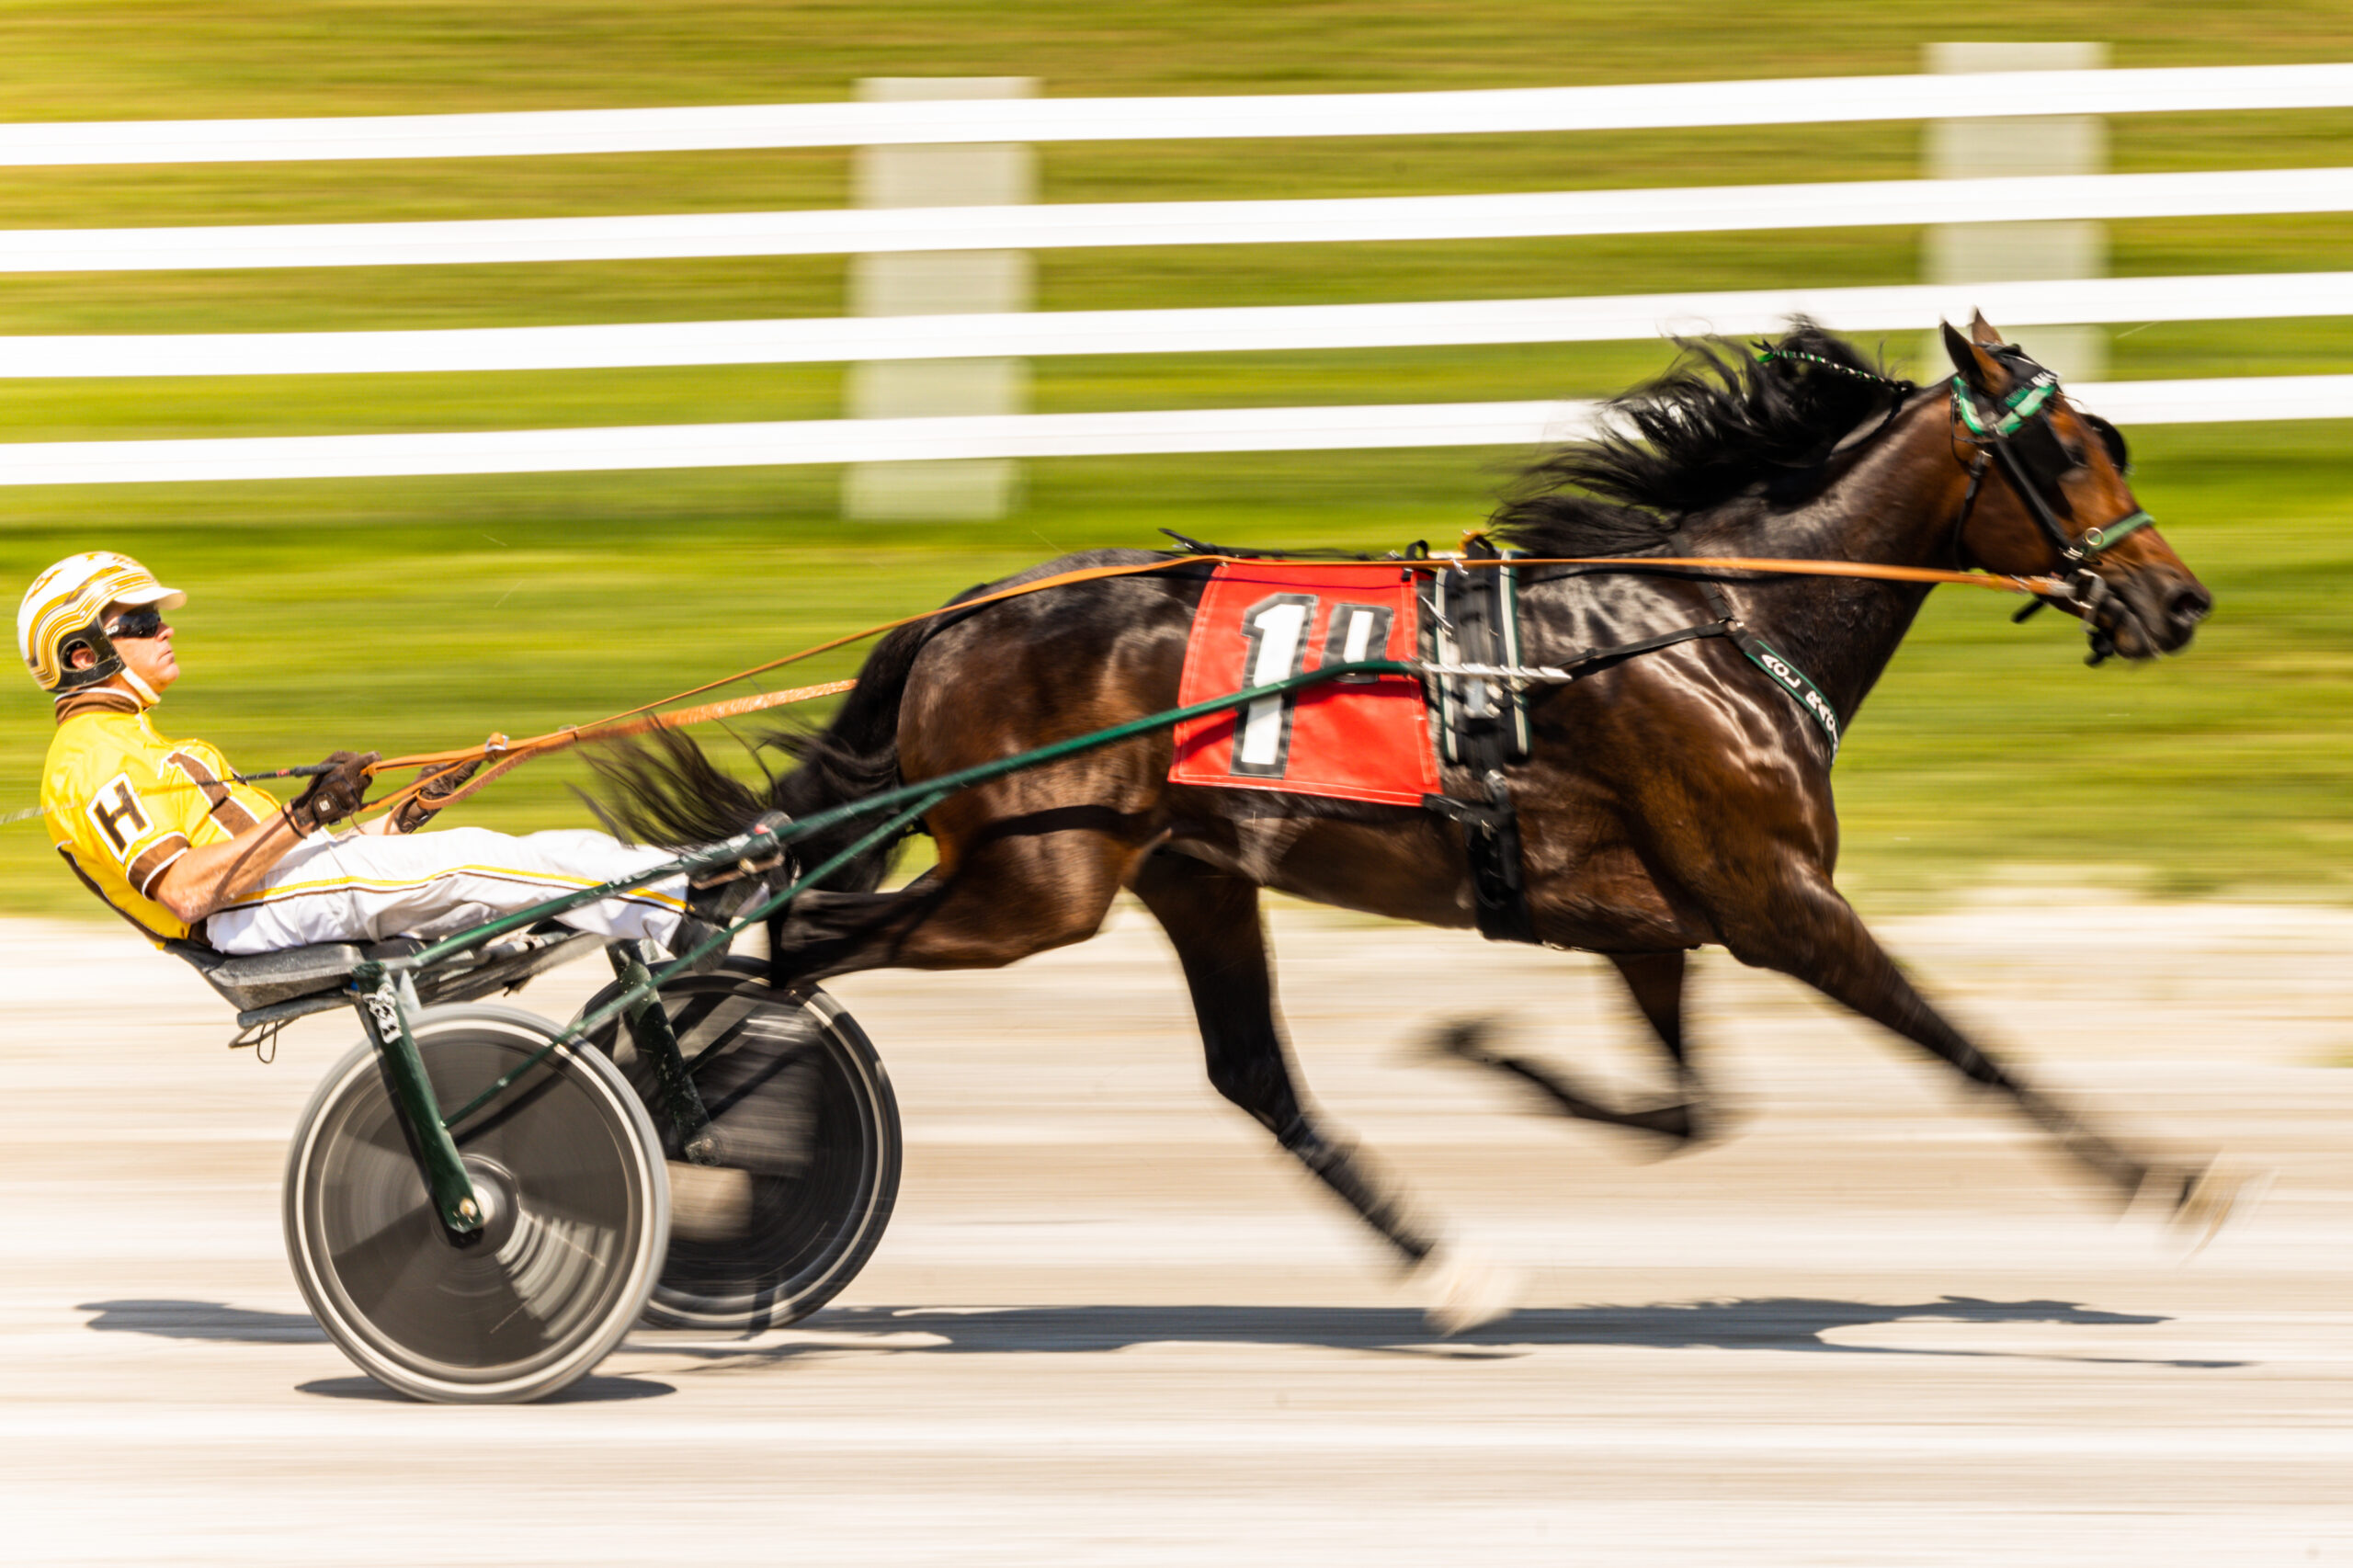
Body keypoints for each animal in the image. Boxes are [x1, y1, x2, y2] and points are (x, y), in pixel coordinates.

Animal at [597, 315, 2230, 1318]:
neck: (1711, 623)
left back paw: (1450, 1267)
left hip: (1187, 871)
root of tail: (961, 614)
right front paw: (2169, 1176)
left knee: (1253, 1074)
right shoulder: (1780, 901)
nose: (2177, 601)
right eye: (2067, 450)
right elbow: (1966, 1046)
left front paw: (1491, 1050)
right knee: (789, 943)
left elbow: (1687, 1109)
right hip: (1034, 881)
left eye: (2114, 439)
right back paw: (685, 1121)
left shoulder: (1653, 923)